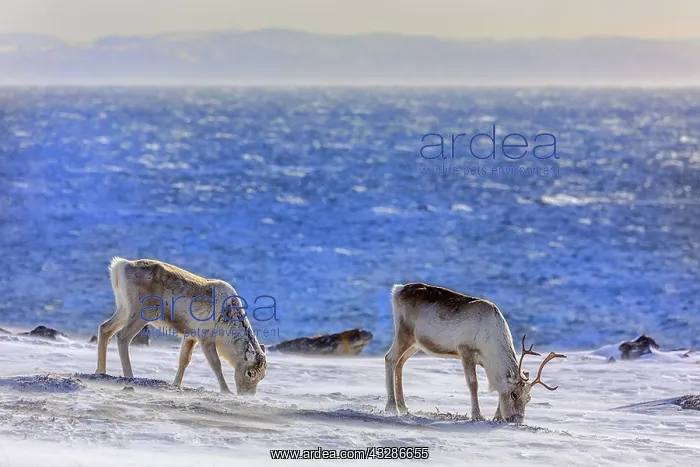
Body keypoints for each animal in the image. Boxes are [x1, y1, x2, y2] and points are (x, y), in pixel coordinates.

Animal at [96, 257, 267, 395]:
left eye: (263, 376)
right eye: (250, 373)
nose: (247, 396)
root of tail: (121, 265)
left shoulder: (190, 336)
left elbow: (184, 360)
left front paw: (176, 384)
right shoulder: (205, 338)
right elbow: (216, 365)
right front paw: (226, 390)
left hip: (124, 308)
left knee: (105, 328)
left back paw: (101, 371)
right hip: (141, 312)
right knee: (122, 337)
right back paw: (129, 377)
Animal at [385, 282, 566, 423]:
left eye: (528, 399)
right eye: (514, 395)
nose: (517, 420)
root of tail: (398, 290)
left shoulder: (485, 362)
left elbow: (497, 385)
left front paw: (497, 417)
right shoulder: (466, 350)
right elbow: (473, 383)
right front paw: (477, 415)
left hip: (416, 344)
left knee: (400, 363)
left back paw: (403, 406)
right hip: (404, 334)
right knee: (390, 359)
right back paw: (392, 407)